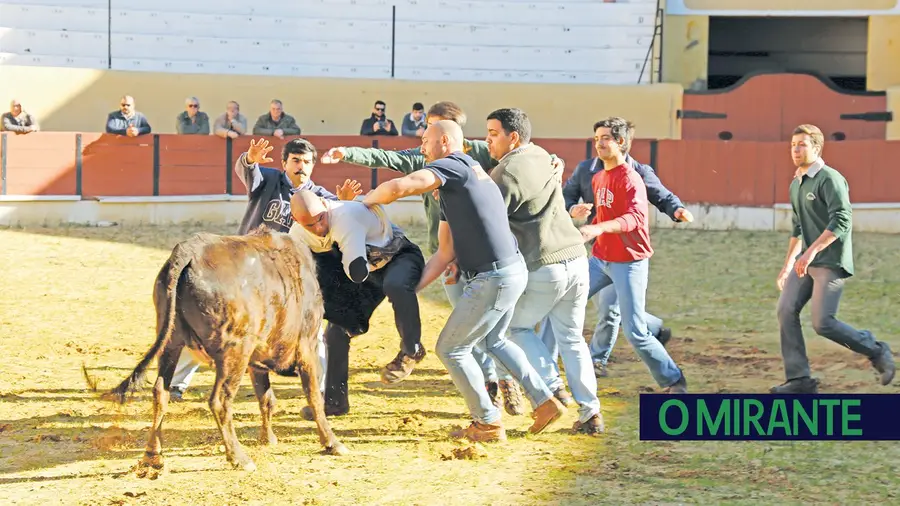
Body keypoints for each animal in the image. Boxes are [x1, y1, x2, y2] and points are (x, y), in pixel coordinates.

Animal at [108, 225, 348, 474]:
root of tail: (189, 252)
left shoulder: (257, 360)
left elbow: (266, 398)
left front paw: (268, 438)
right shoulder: (307, 346)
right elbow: (313, 396)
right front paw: (332, 443)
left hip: (171, 342)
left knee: (160, 393)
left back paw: (152, 455)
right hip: (234, 351)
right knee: (220, 401)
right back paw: (239, 457)